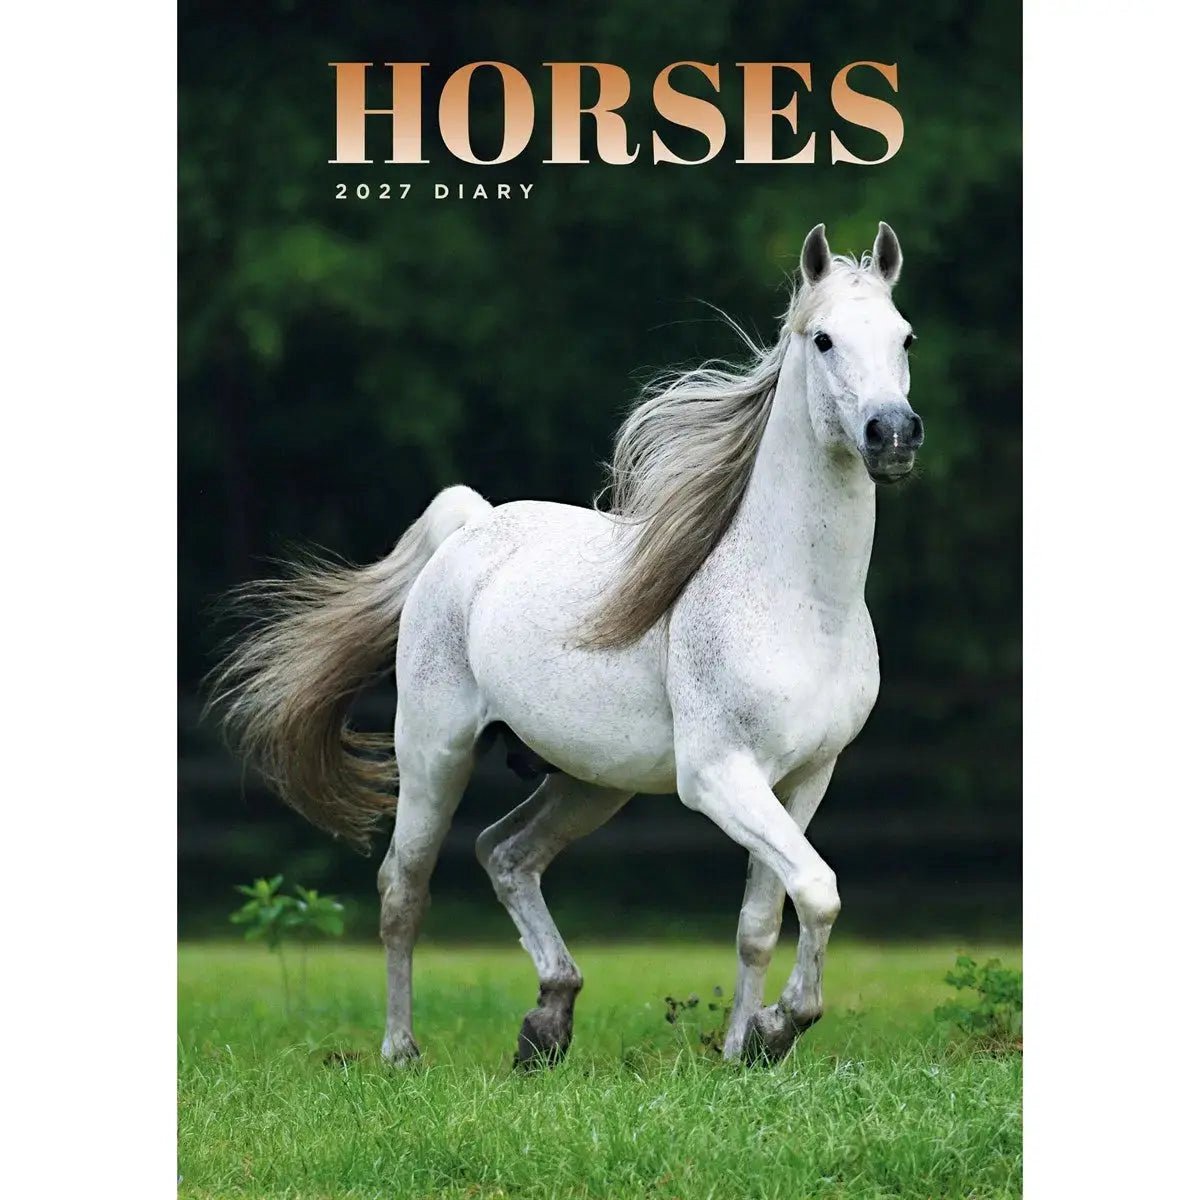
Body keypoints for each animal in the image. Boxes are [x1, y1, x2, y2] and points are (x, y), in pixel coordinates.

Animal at [209, 221, 925, 1067]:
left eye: (905, 336)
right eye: (822, 339)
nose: (893, 433)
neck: (799, 602)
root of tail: (473, 525)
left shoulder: (807, 778)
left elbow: (763, 921)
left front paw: (743, 1051)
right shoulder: (720, 776)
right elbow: (818, 890)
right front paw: (778, 1029)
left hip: (590, 781)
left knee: (505, 853)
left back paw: (548, 1019)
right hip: (435, 754)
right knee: (402, 890)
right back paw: (401, 1052)